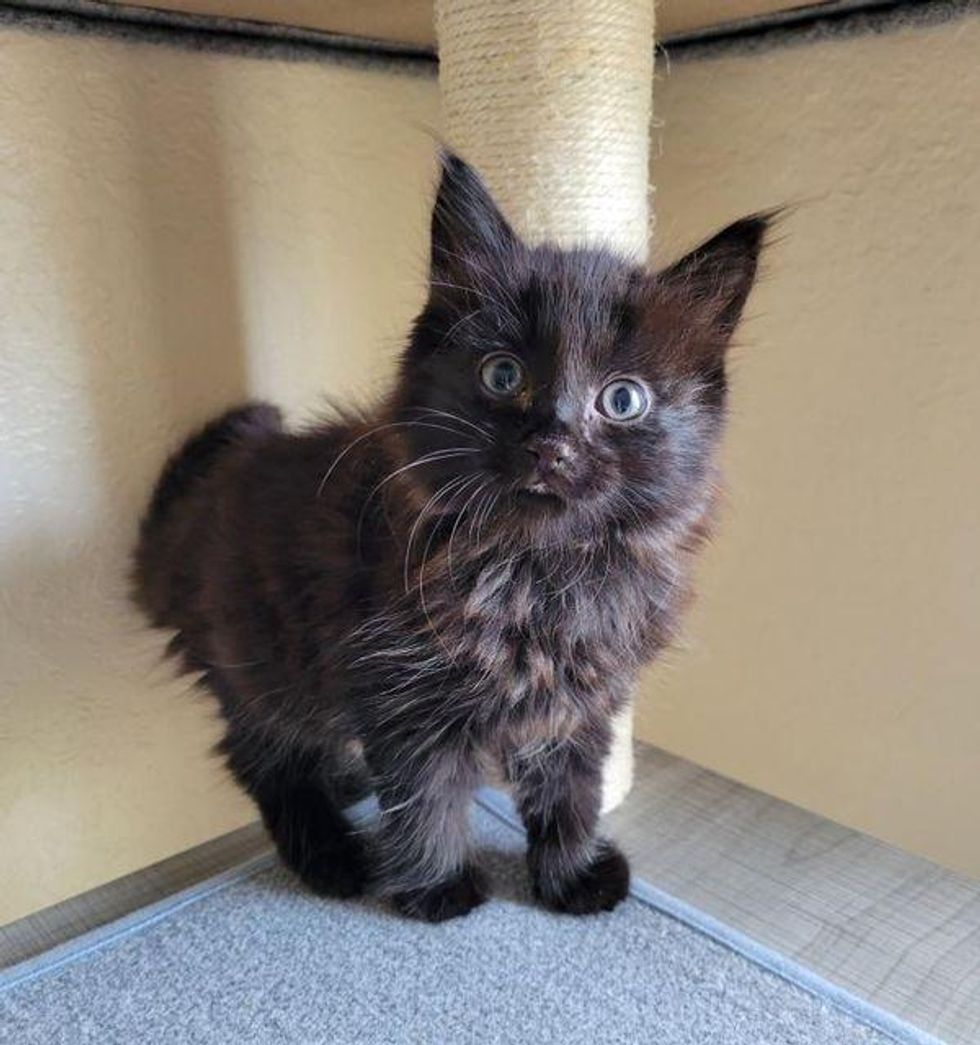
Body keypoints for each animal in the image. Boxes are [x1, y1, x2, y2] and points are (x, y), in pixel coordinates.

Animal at [131, 154, 773, 923]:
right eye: (503, 374)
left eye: (622, 399)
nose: (551, 445)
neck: (536, 575)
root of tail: (199, 507)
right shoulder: (400, 692)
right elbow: (425, 797)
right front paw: (440, 887)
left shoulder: (580, 703)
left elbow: (570, 793)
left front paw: (570, 875)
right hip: (263, 658)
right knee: (259, 755)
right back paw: (331, 856)